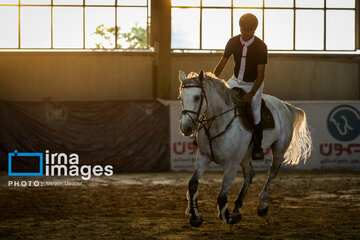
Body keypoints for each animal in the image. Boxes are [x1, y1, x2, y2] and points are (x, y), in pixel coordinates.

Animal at [179, 70, 310, 227]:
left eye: (197, 97)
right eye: (180, 98)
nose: (185, 128)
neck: (218, 122)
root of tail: (285, 105)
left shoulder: (231, 164)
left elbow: (222, 196)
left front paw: (227, 217)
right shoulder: (204, 157)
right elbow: (193, 184)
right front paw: (195, 216)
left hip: (279, 150)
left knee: (272, 173)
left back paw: (261, 205)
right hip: (245, 156)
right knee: (249, 174)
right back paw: (237, 207)